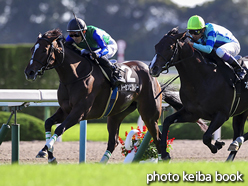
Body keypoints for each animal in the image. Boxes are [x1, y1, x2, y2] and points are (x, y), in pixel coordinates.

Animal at [23, 28, 182, 163]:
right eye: (31, 49)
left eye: (44, 50)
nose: (29, 72)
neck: (74, 77)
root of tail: (151, 73)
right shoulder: (65, 110)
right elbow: (48, 122)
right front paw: (48, 154)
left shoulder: (79, 112)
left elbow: (59, 128)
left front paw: (46, 150)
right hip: (116, 114)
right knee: (113, 142)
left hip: (149, 114)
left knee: (157, 138)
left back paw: (164, 159)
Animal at [149, 27, 248, 161]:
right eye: (156, 46)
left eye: (169, 47)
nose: (152, 68)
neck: (201, 80)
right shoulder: (192, 113)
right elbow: (167, 121)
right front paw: (165, 154)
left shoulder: (222, 114)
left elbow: (206, 137)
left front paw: (217, 145)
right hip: (241, 112)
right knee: (238, 133)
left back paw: (237, 141)